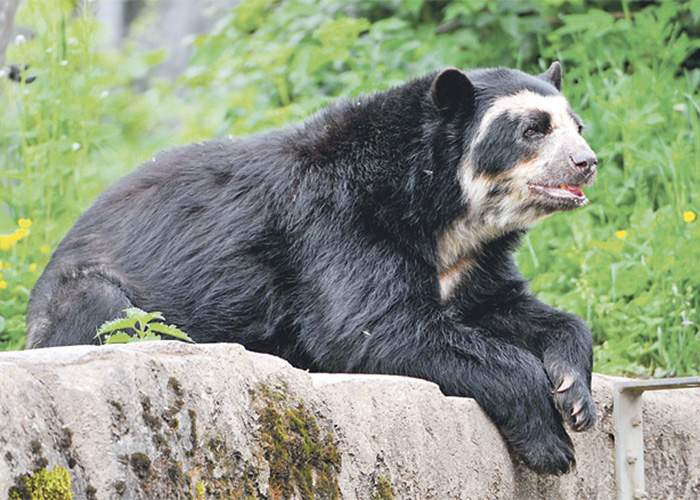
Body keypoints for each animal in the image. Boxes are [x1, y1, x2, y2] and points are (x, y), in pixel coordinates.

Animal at [26, 62, 597, 475]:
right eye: (532, 129)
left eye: (577, 127)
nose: (587, 162)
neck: (443, 212)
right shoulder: (337, 223)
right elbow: (374, 327)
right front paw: (551, 444)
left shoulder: (473, 261)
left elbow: (512, 308)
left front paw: (575, 396)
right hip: (88, 296)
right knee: (103, 311)